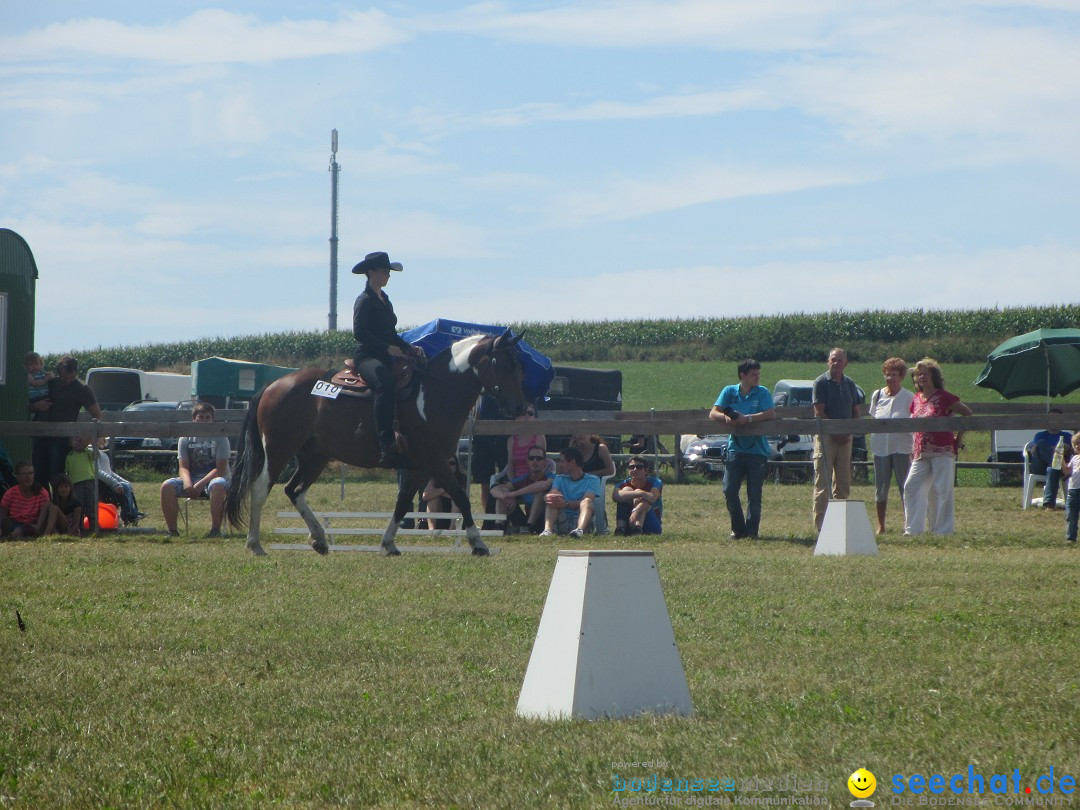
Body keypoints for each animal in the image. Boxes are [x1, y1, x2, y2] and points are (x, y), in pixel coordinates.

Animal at [225, 330, 529, 557]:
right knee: (261, 489)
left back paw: (319, 539)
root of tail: (273, 385)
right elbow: (461, 497)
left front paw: (388, 544)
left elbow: (402, 503)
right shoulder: (435, 461)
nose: (519, 407)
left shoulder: (419, 467)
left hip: (314, 456)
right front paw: (478, 543)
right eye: (502, 363)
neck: (432, 393)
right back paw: (255, 544)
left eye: (519, 365)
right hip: (278, 450)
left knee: (294, 490)